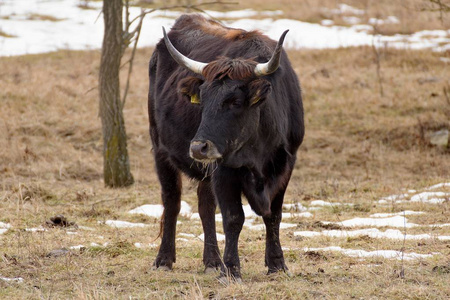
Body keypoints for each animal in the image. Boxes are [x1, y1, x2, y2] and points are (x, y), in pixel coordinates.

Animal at [149, 14, 304, 282]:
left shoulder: (286, 164)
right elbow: (233, 217)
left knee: (205, 206)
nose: (198, 147)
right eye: (202, 98)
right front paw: (231, 269)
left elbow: (274, 215)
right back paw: (165, 259)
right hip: (161, 151)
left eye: (235, 101)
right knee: (172, 202)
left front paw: (277, 264)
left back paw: (212, 261)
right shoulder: (224, 169)